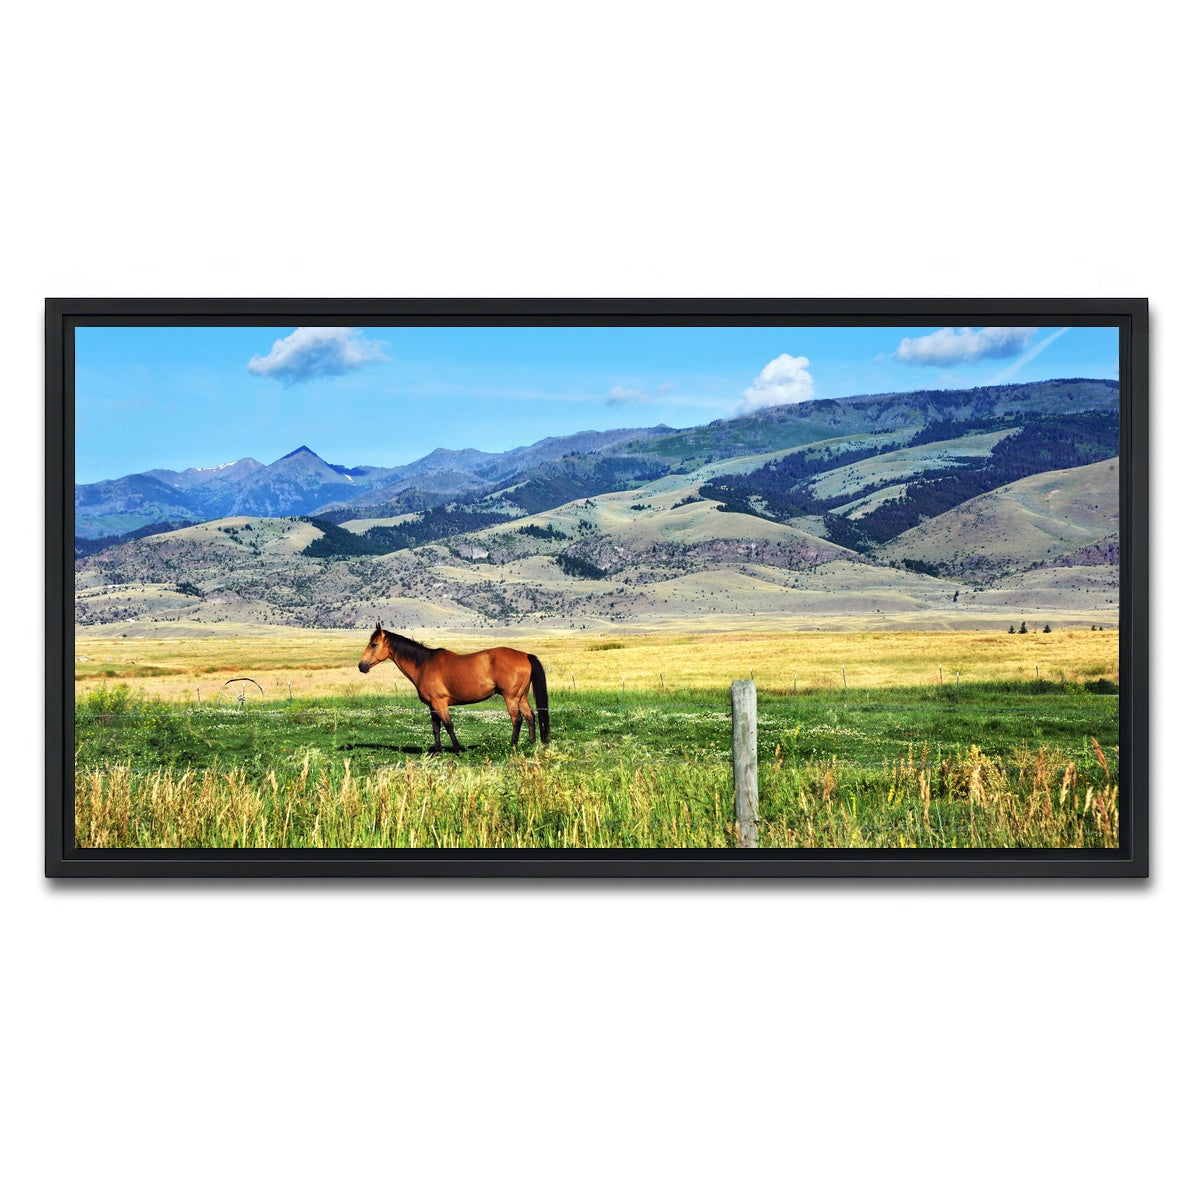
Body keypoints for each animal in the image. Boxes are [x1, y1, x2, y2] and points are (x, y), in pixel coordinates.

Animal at [357, 623, 549, 753]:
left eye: (374, 644)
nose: (361, 666)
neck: (424, 665)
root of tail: (525, 655)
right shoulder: (432, 705)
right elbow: (436, 727)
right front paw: (437, 751)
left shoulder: (440, 703)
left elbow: (449, 725)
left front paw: (458, 749)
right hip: (521, 697)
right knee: (530, 717)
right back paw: (531, 744)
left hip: (511, 698)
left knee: (517, 720)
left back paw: (513, 745)